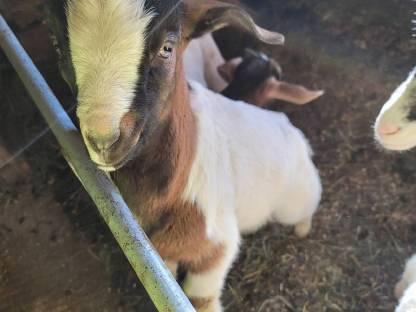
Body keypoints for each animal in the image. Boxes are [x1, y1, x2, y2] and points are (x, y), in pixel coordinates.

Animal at [66, 1, 320, 310]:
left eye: (167, 47)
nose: (104, 141)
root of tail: (293, 132)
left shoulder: (217, 247)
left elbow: (201, 298)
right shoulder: (159, 254)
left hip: (295, 199)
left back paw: (303, 229)